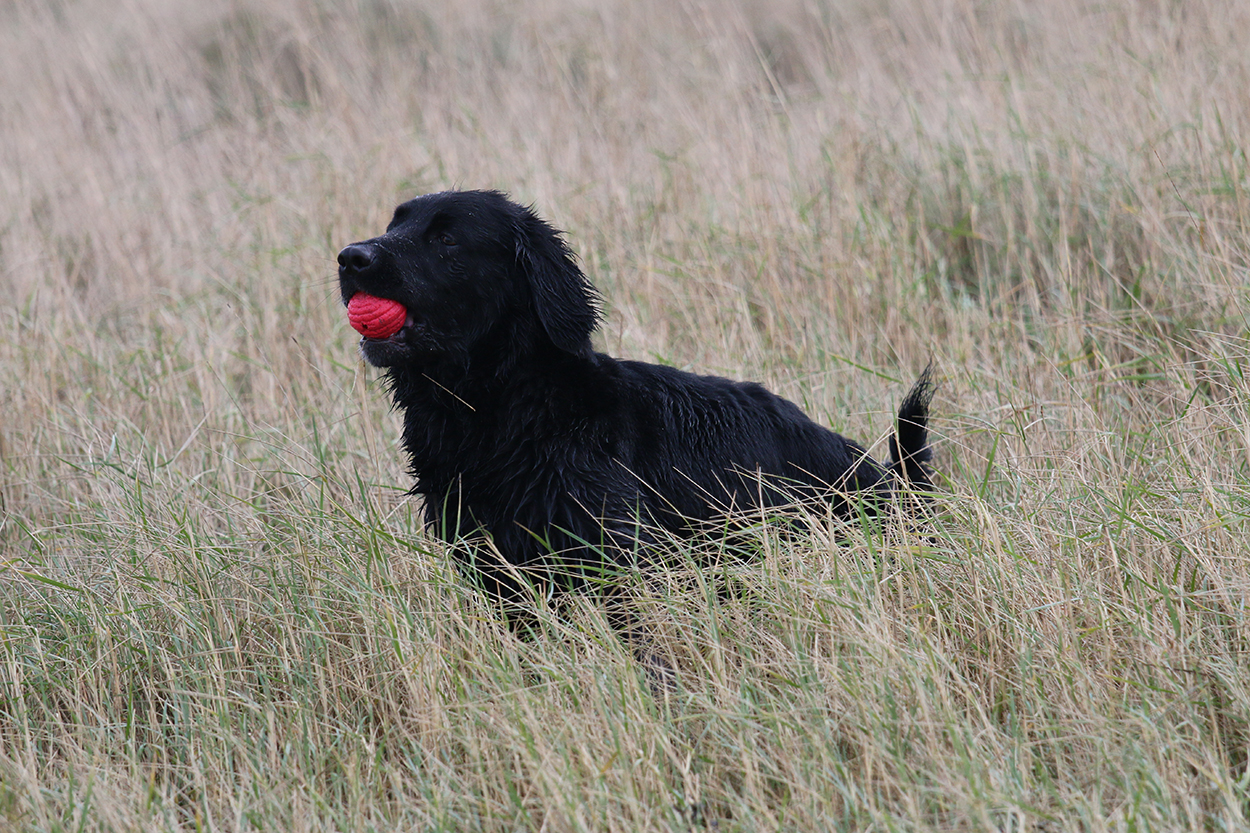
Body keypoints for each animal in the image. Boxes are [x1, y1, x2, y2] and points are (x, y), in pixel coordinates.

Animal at [338, 189, 933, 613]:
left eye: (446, 239)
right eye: (394, 225)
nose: (349, 256)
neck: (508, 412)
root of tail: (891, 484)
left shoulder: (613, 560)